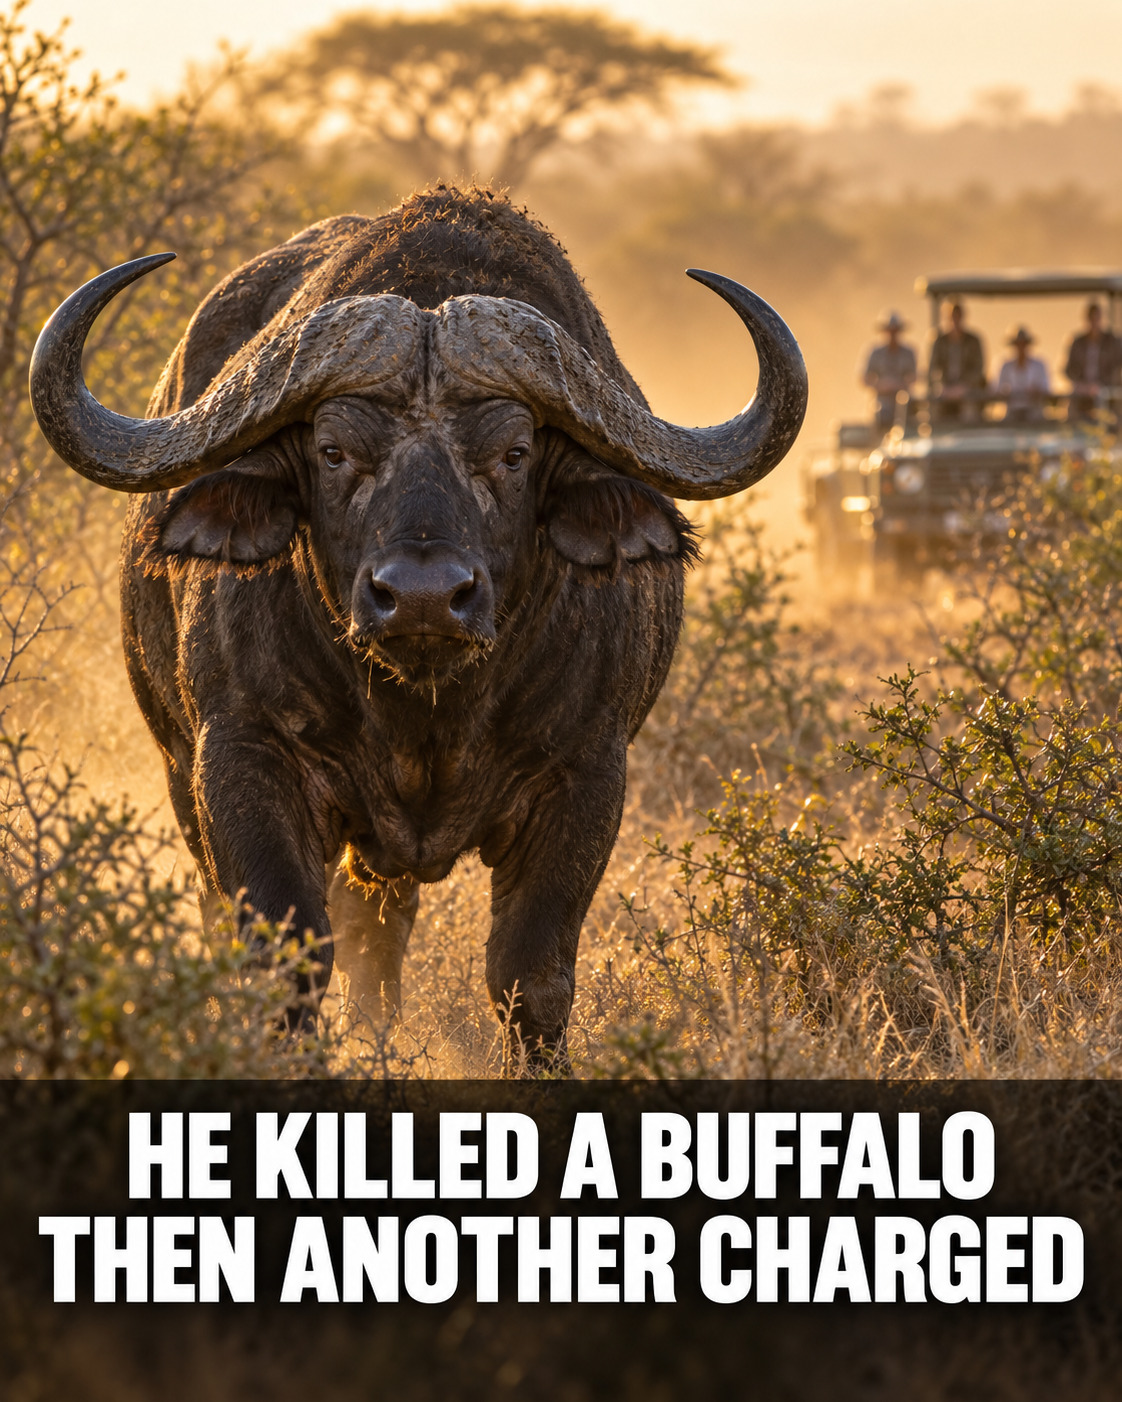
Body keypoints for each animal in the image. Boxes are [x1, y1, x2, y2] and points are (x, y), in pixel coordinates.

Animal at [30, 187, 806, 1069]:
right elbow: (284, 964)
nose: (425, 598)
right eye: (333, 450)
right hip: (176, 768)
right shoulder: (238, 758)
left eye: (513, 453)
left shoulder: (587, 776)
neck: (425, 710)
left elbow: (530, 975)